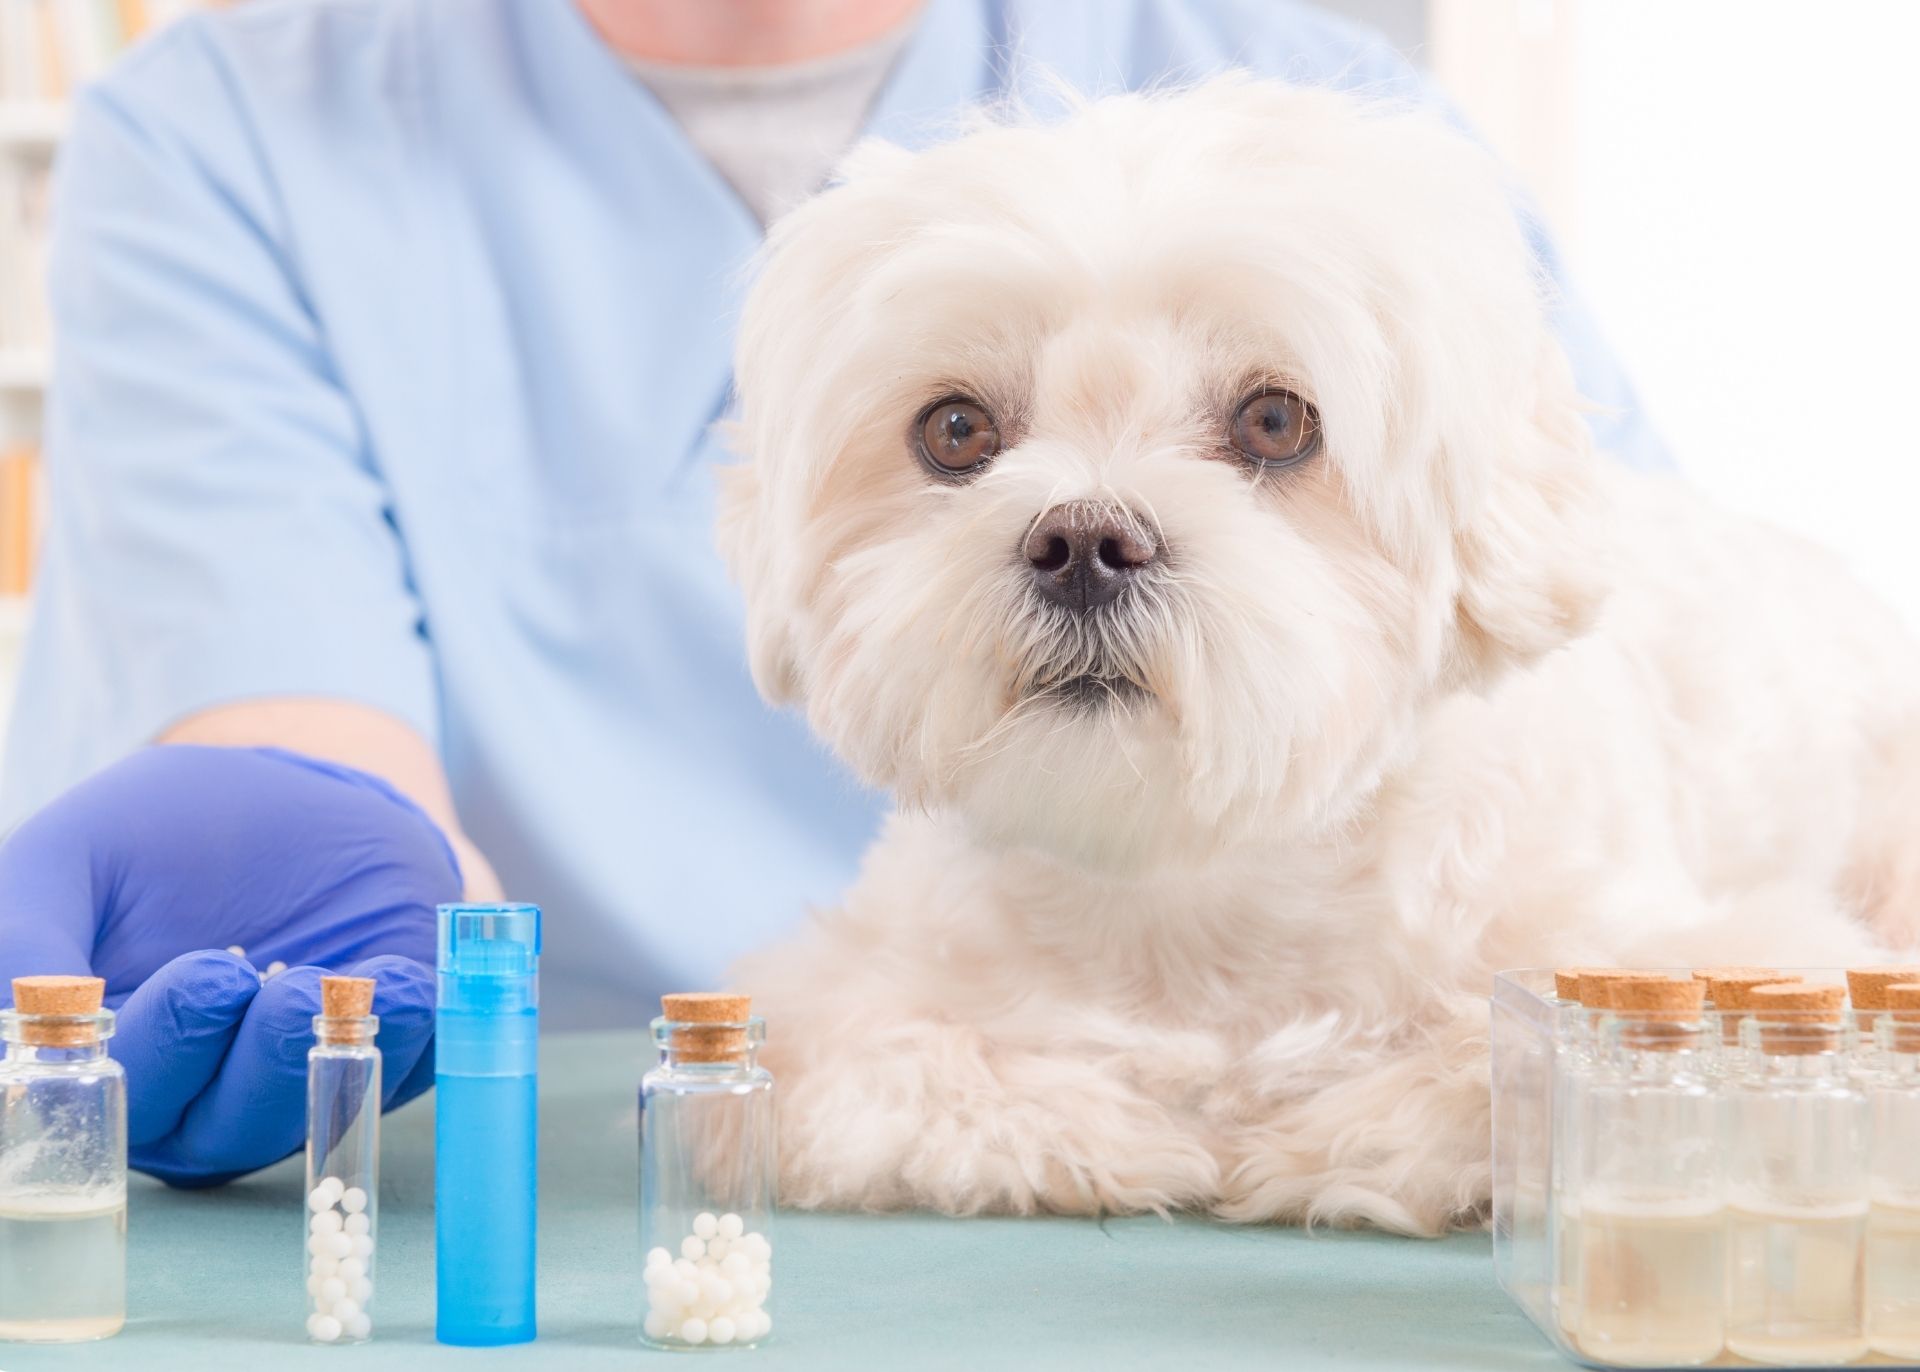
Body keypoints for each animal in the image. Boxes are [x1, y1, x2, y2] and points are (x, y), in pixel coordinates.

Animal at [714, 77, 1920, 1235]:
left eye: (1276, 423)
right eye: (956, 431)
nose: (1084, 545)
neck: (1202, 881)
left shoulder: (1695, 957)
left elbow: (1499, 1064)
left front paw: (1322, 1133)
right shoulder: (841, 994)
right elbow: (892, 1063)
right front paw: (1106, 1121)